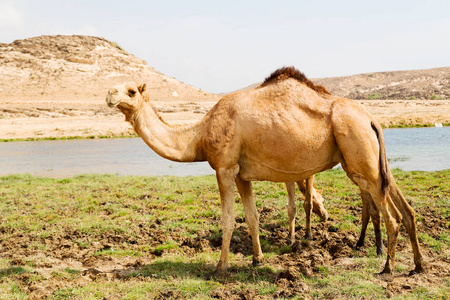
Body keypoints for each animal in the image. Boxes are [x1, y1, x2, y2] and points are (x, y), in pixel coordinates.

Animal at [107, 67, 424, 276]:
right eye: (116, 87)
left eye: (131, 91)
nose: (109, 94)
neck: (198, 136)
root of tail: (371, 117)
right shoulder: (240, 174)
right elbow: (252, 217)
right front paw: (258, 260)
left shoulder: (224, 167)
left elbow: (228, 219)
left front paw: (221, 267)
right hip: (370, 160)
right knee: (405, 209)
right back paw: (417, 266)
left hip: (359, 153)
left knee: (391, 216)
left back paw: (387, 268)